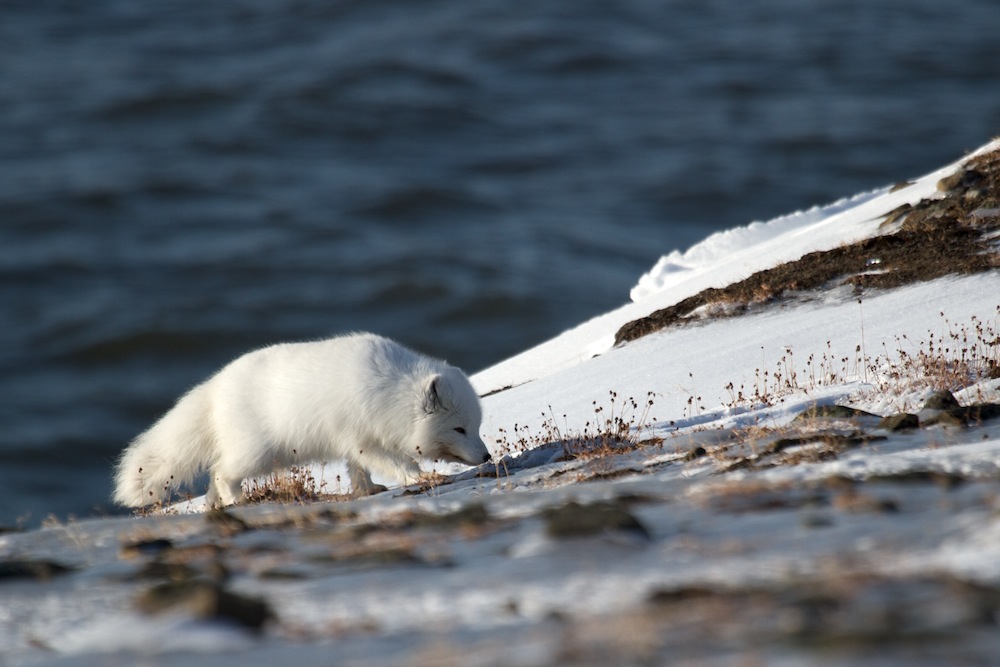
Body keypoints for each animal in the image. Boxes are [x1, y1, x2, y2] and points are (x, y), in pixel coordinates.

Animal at [113, 334, 492, 512]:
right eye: (459, 429)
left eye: (475, 427)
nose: (487, 457)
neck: (389, 392)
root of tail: (216, 386)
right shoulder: (363, 437)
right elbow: (397, 463)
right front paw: (424, 477)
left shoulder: (353, 440)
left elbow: (357, 470)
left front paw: (368, 490)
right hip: (256, 453)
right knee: (220, 472)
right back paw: (236, 501)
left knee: (213, 480)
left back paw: (216, 506)